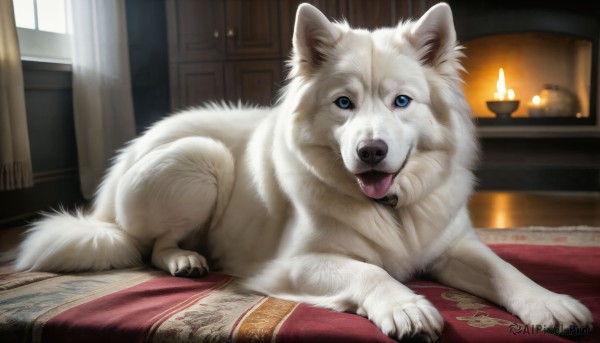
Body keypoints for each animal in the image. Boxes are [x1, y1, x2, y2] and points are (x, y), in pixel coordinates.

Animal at [12, 2, 592, 342]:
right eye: (344, 103)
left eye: (402, 101)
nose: (372, 151)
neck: (390, 209)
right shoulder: (294, 264)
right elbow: (370, 272)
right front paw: (406, 307)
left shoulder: (454, 248)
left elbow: (506, 271)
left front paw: (552, 304)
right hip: (201, 157)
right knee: (149, 244)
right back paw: (185, 260)